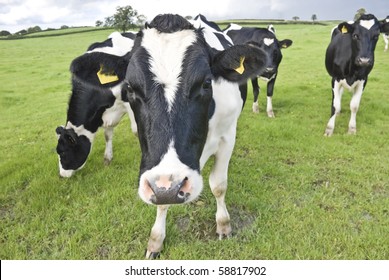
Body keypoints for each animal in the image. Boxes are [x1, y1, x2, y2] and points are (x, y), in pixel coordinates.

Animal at [55, 31, 137, 177]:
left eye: (63, 152)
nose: (62, 175)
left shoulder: (129, 101)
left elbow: (136, 130)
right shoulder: (104, 114)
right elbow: (108, 135)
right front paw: (107, 159)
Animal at [123, 13, 268, 258]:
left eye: (206, 82)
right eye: (130, 88)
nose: (172, 187)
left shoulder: (228, 136)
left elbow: (219, 184)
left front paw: (223, 225)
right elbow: (162, 201)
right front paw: (156, 240)